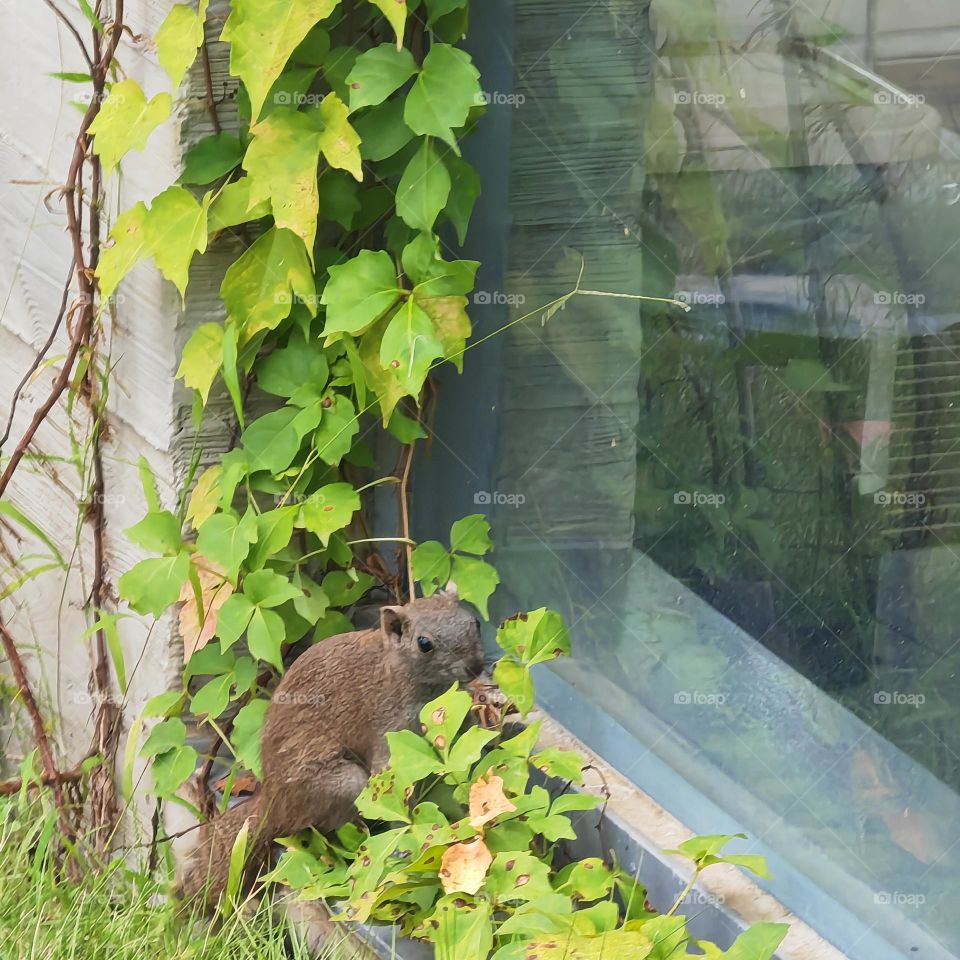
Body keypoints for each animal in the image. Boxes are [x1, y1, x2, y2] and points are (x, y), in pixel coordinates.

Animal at [176, 584, 484, 911]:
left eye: (475, 622)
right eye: (424, 643)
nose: (475, 666)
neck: (397, 670)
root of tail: (274, 805)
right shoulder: (387, 727)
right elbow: (392, 782)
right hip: (344, 784)